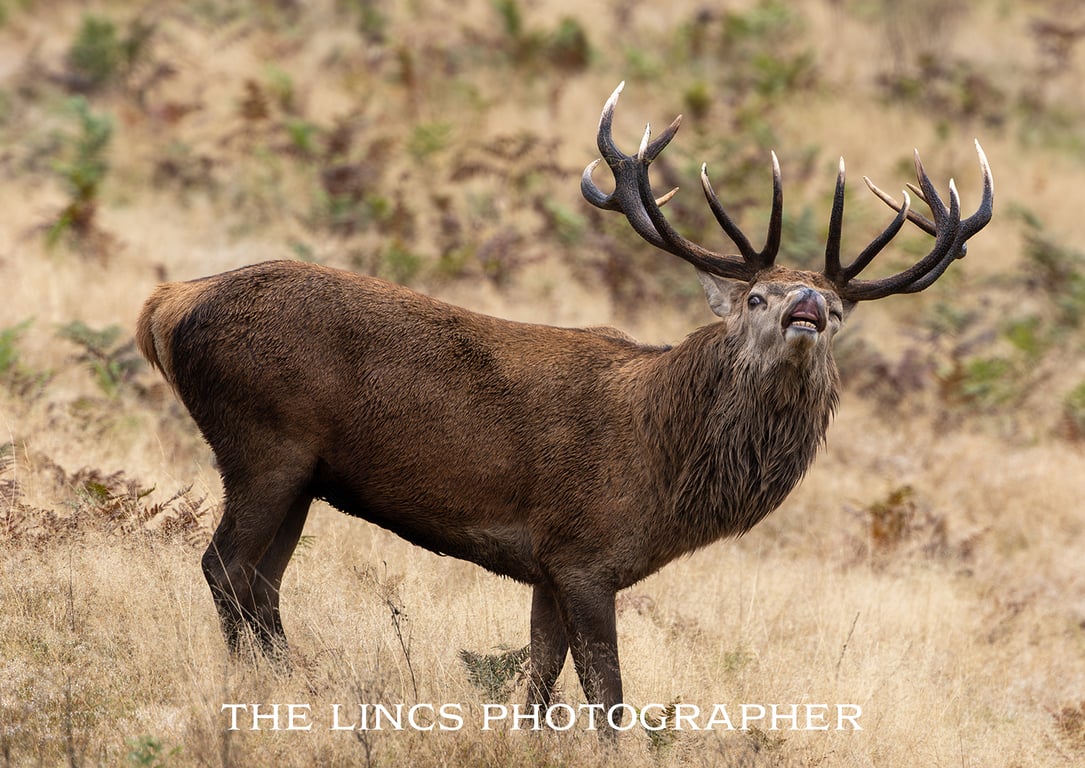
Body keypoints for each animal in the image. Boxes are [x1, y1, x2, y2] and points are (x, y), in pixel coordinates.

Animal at [136, 82, 992, 726]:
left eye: (838, 310)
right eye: (757, 295)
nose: (808, 305)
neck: (663, 469)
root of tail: (169, 306)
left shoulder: (545, 564)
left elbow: (539, 679)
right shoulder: (585, 552)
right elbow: (605, 694)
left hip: (304, 473)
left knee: (262, 584)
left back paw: (289, 687)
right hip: (262, 439)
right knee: (224, 567)